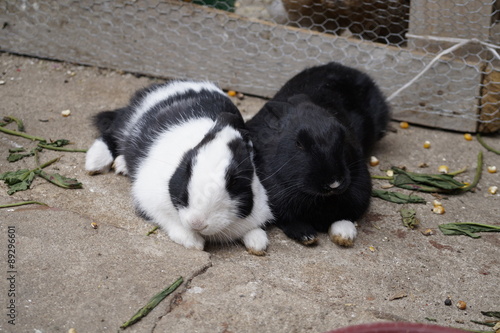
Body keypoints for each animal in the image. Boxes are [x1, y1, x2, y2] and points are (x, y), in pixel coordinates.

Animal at [86, 80, 274, 254]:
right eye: (187, 168)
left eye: (235, 182)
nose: (197, 222)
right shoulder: (149, 200)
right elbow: (169, 221)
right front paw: (193, 242)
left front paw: (258, 243)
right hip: (128, 123)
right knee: (111, 133)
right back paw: (95, 162)